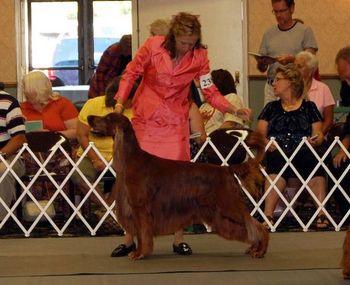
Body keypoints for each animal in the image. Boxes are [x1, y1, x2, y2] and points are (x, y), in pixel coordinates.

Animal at [87, 112, 268, 258]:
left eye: (107, 118)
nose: (89, 117)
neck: (131, 158)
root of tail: (227, 169)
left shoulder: (140, 208)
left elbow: (142, 233)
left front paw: (139, 254)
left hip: (229, 206)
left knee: (258, 226)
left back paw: (260, 251)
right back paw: (254, 248)